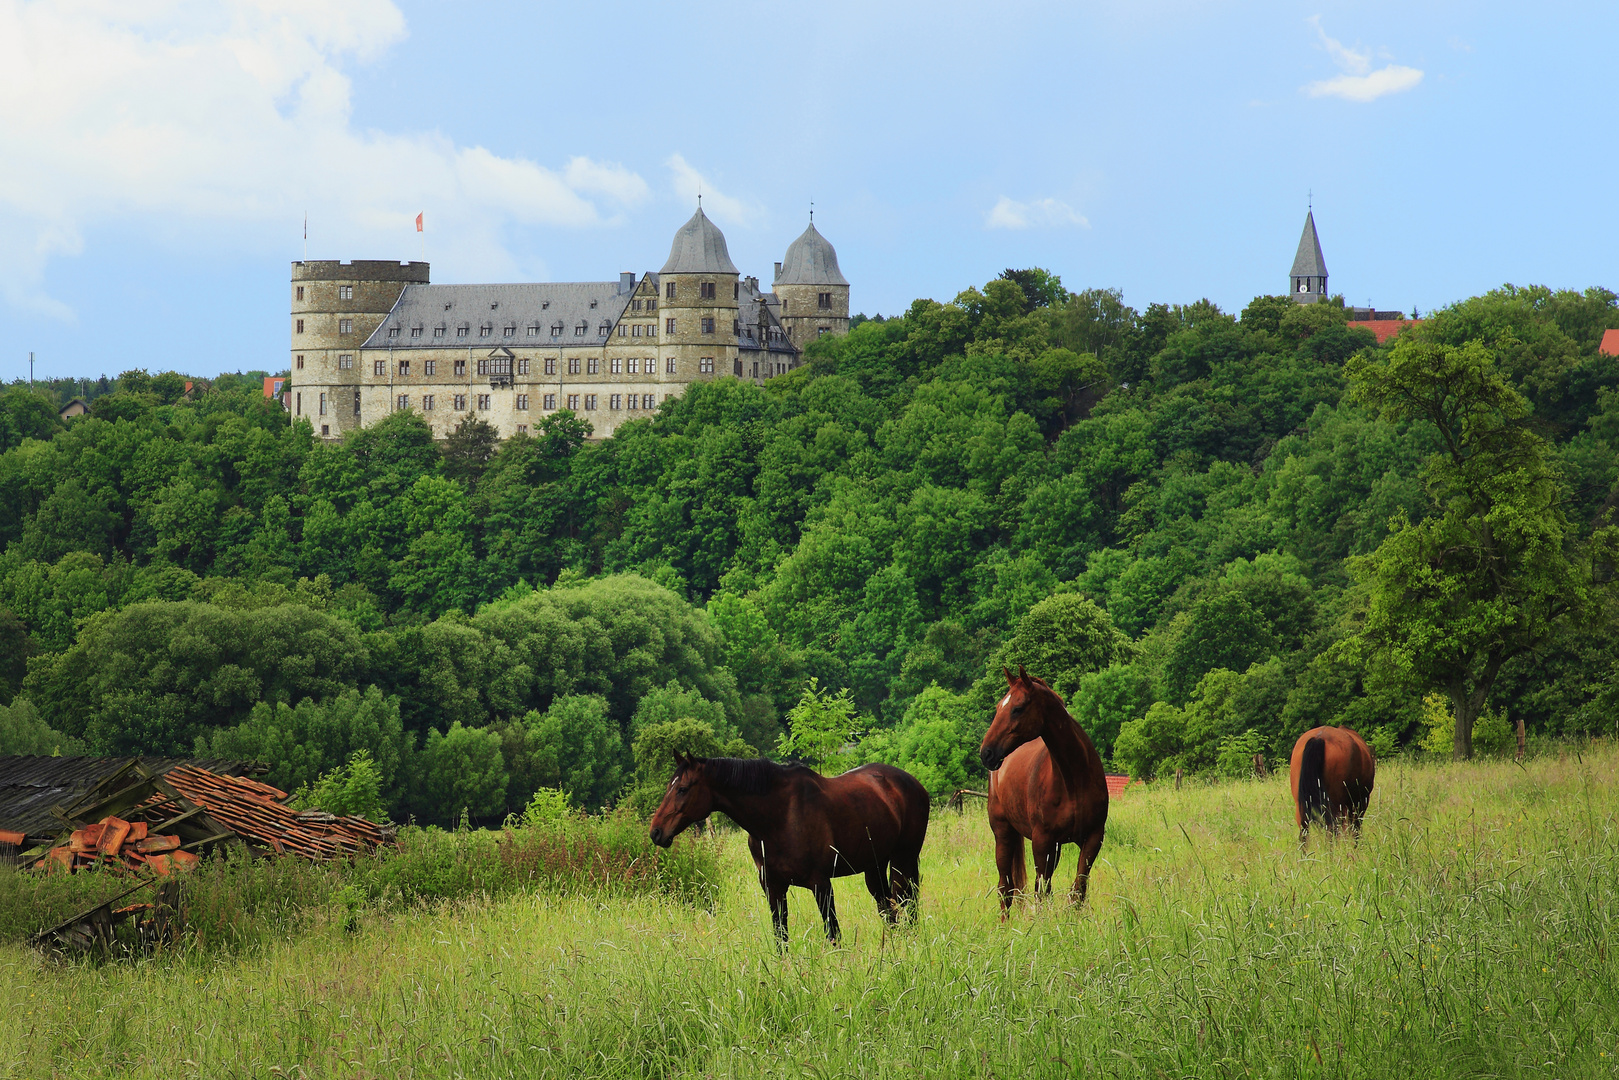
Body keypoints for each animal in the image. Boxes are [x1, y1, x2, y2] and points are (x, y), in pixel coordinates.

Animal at [644, 757, 926, 939]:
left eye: (682, 789)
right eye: (670, 786)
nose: (656, 831)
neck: (778, 817)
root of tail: (912, 782)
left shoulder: (821, 884)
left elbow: (833, 933)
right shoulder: (773, 888)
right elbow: (781, 936)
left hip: (904, 860)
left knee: (908, 902)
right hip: (875, 866)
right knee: (888, 907)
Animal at [971, 667, 1113, 913]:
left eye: (1017, 708)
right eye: (999, 707)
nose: (986, 753)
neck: (1073, 780)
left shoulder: (1093, 838)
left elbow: (1078, 890)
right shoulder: (1042, 841)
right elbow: (1042, 892)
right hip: (1003, 833)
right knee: (1005, 888)